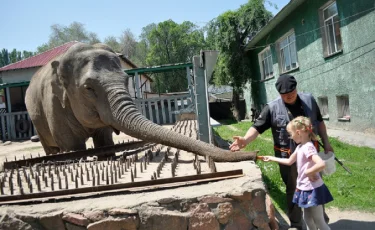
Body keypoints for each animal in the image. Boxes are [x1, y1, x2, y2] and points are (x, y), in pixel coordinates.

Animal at [25, 43, 258, 162]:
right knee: (51, 147)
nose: (255, 154)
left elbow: (104, 140)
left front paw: (107, 158)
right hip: (37, 118)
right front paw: (79, 159)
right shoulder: (54, 106)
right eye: (88, 89)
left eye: (126, 80)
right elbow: (72, 146)